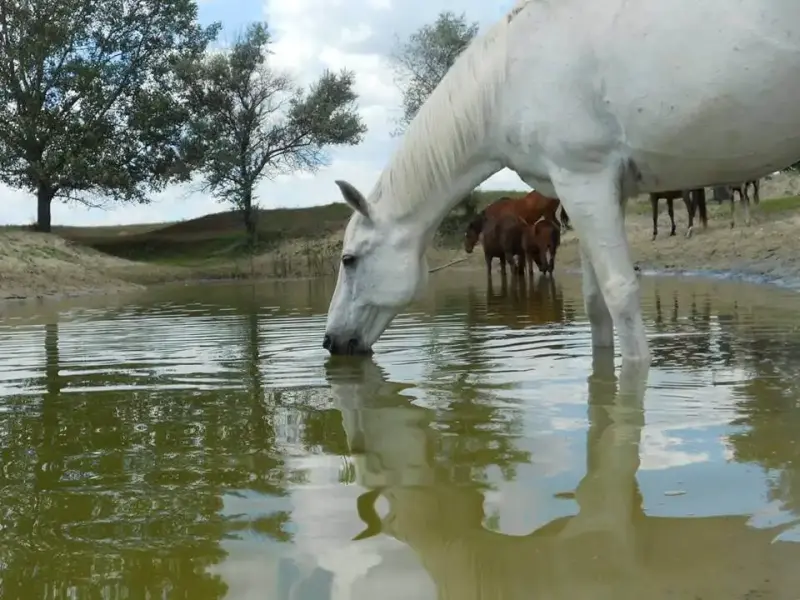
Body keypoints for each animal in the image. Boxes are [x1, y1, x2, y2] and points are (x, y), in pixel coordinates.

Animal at [322, 0, 800, 366]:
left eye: (349, 259)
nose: (329, 341)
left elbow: (620, 294)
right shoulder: (597, 191)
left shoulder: (583, 180)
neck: (505, 81)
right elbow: (595, 304)